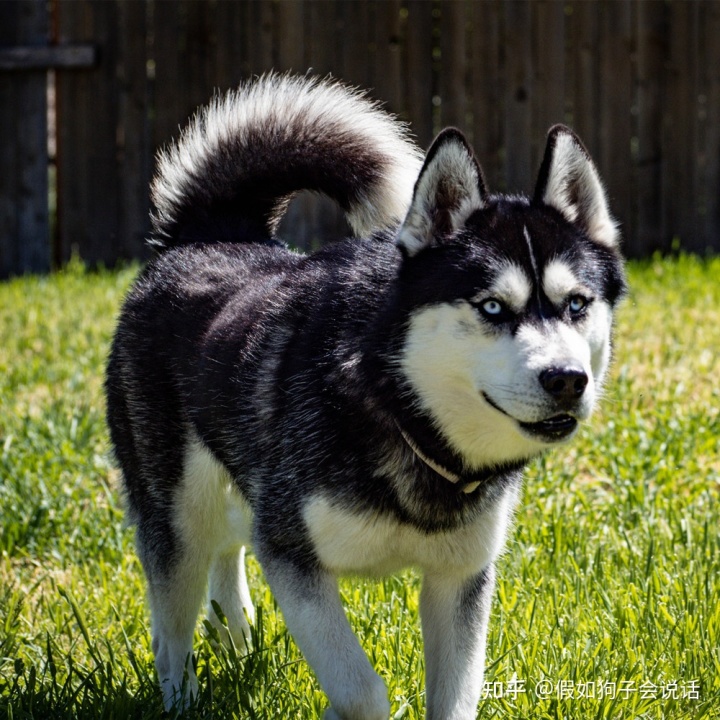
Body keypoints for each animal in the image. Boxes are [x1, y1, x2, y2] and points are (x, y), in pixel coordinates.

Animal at [105, 70, 624, 716]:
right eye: (492, 308)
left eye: (576, 303)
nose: (566, 379)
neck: (403, 413)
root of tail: (209, 237)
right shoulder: (291, 552)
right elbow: (361, 690)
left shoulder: (461, 577)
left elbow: (455, 698)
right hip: (176, 510)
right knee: (172, 623)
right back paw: (184, 694)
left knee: (227, 543)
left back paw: (237, 635)